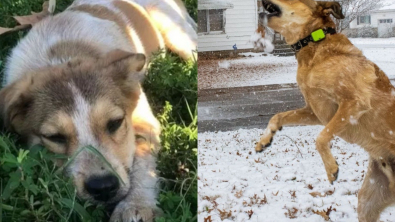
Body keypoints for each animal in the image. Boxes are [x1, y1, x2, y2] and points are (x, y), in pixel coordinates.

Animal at [0, 0, 197, 221]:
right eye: (55, 137)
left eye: (115, 123)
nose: (103, 187)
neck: (62, 55)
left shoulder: (144, 121)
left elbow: (142, 160)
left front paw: (137, 203)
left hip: (179, 35)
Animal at [255, 0, 395, 220]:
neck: (313, 46)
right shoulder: (315, 111)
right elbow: (277, 117)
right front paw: (264, 140)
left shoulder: (354, 103)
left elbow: (321, 138)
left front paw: (331, 168)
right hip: (367, 202)